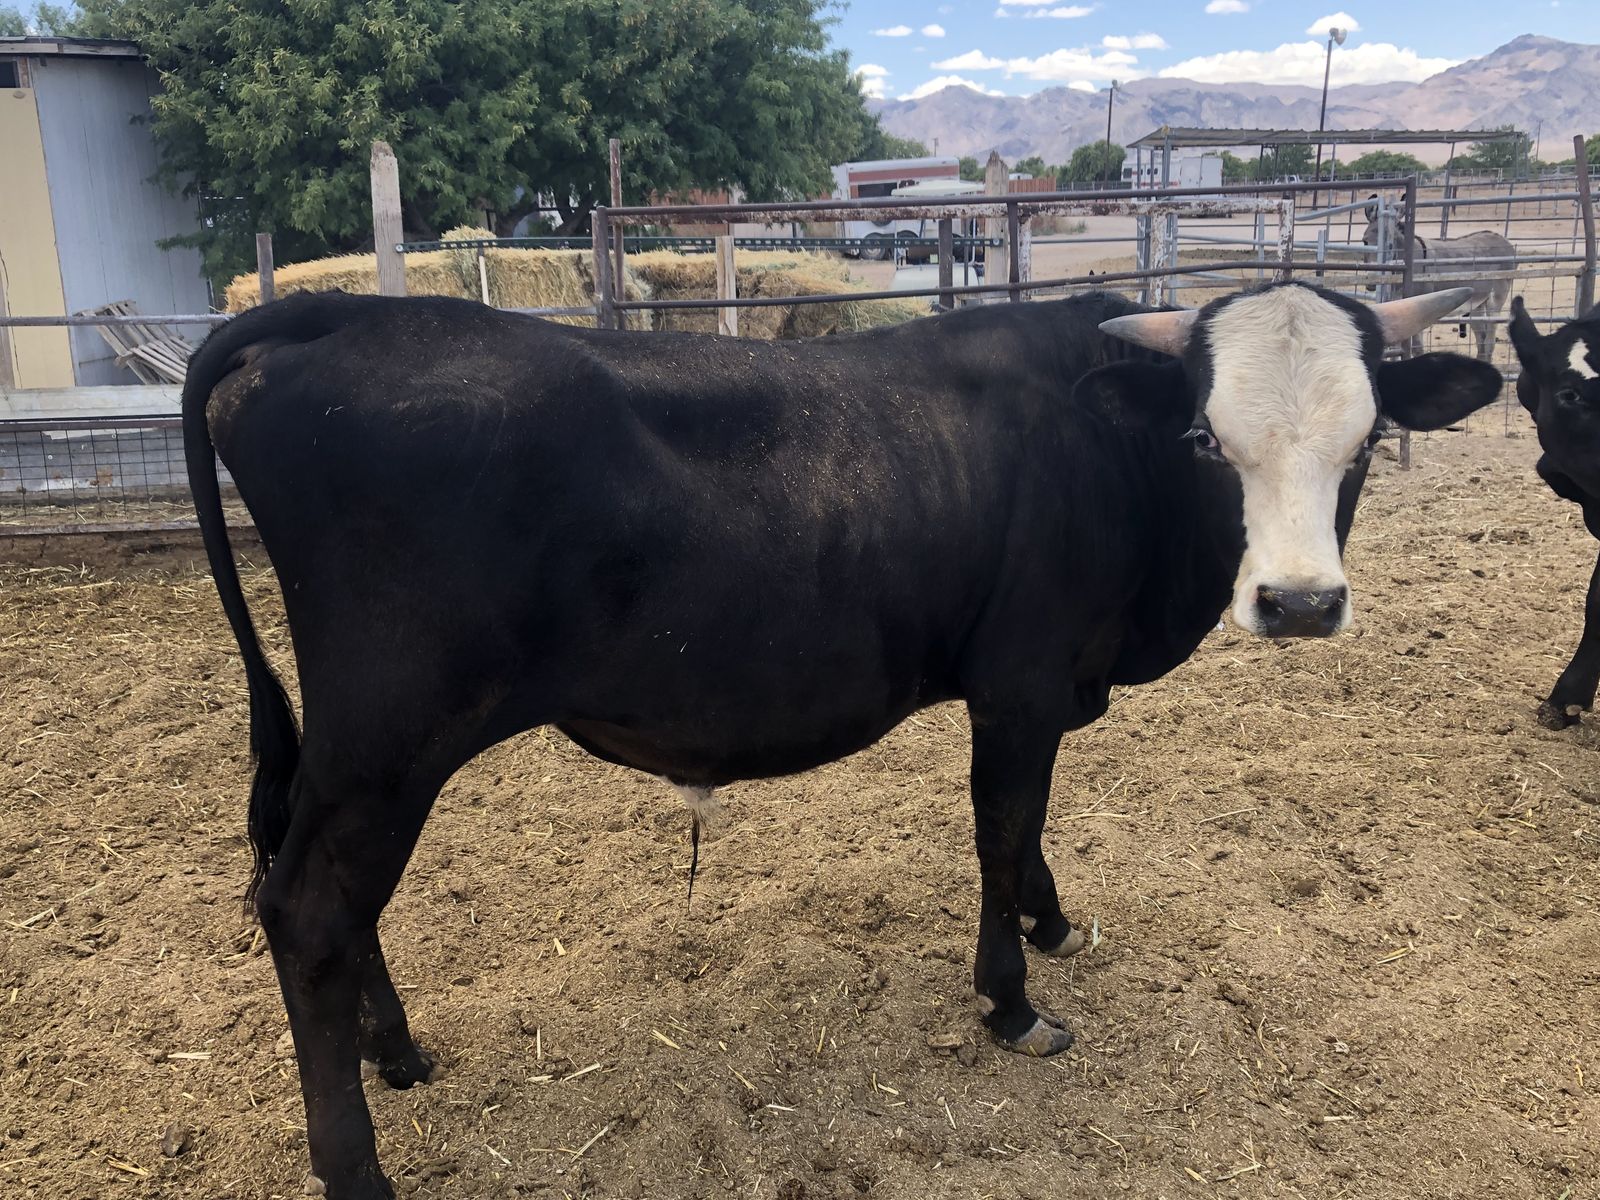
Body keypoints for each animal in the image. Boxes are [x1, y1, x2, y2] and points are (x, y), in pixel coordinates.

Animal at [182, 283, 1500, 1198]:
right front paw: (1011, 1000)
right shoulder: (1020, 683)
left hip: (362, 748)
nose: (1300, 603)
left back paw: (395, 1050)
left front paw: (1051, 920)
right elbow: (1002, 823)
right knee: (306, 907)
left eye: (1366, 441)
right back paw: (357, 1165)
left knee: (322, 895)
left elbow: (1029, 831)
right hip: (393, 730)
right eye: (1204, 441)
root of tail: (341, 314)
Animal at [1362, 194, 1515, 363]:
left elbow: (1416, 348)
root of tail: (1502, 238)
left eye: (1390, 245)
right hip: (1477, 302)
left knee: (1490, 337)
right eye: (1365, 242)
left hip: (1496, 298)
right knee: (1481, 337)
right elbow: (1395, 349)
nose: (1371, 283)